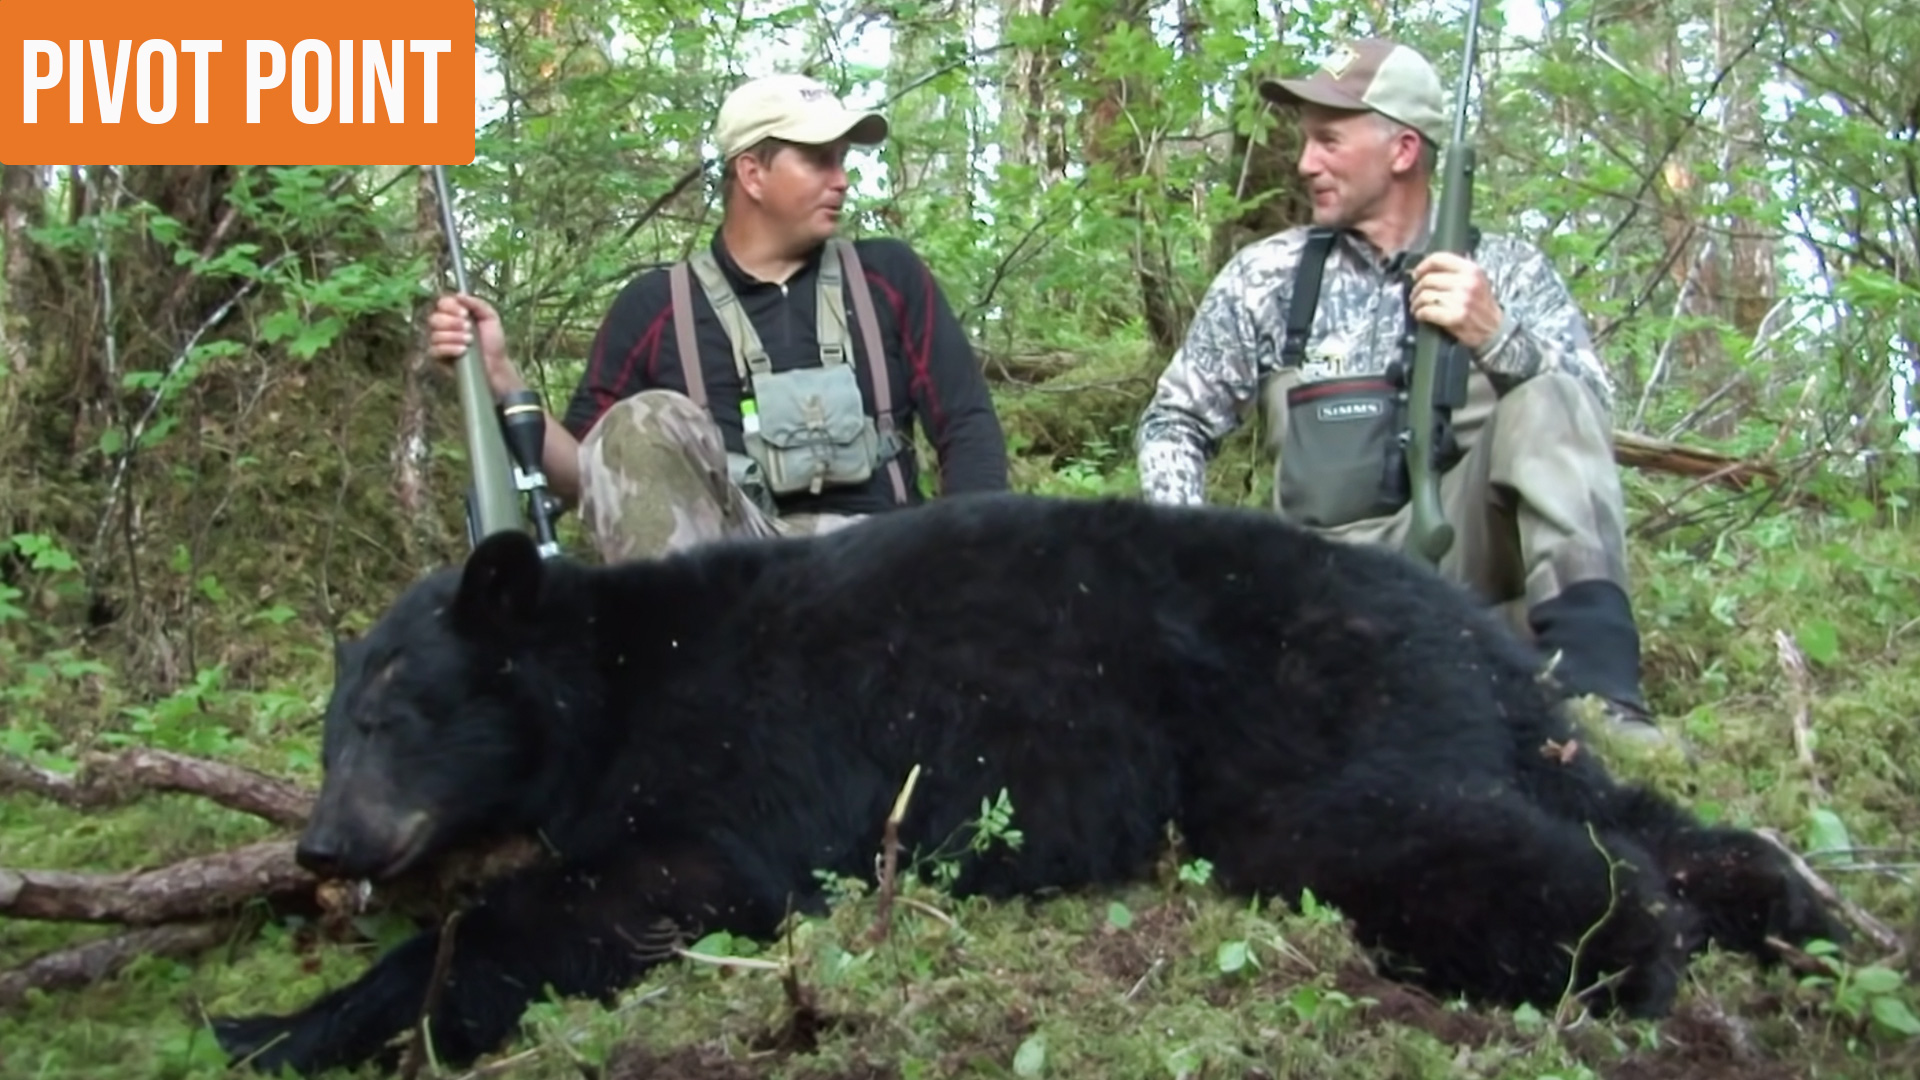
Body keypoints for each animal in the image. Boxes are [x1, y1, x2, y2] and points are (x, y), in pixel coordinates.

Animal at [210, 491, 1843, 1076]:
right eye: (328, 727)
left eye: (396, 713)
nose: (321, 845)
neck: (616, 672)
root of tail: (1470, 626)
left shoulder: (732, 774)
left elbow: (615, 894)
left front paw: (285, 1024)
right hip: (1512, 729)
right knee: (1659, 823)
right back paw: (1808, 918)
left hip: (1319, 731)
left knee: (1468, 853)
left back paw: (1631, 957)